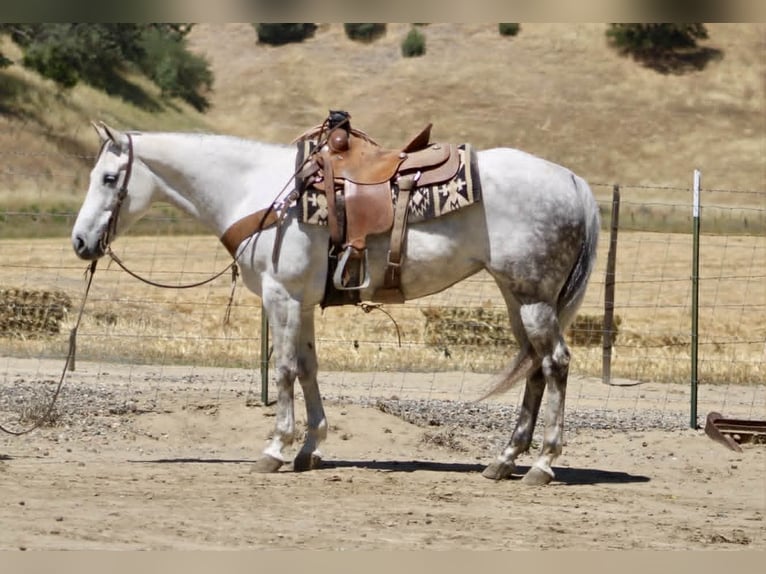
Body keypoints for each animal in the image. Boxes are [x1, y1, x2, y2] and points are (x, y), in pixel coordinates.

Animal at [71, 121, 600, 485]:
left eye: (110, 178)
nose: (79, 242)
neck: (258, 193)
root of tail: (572, 180)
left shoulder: (281, 296)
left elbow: (284, 369)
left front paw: (275, 449)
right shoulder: (301, 303)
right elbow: (308, 368)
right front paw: (309, 448)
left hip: (533, 297)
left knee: (555, 363)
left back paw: (543, 463)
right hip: (519, 297)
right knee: (535, 368)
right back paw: (504, 460)